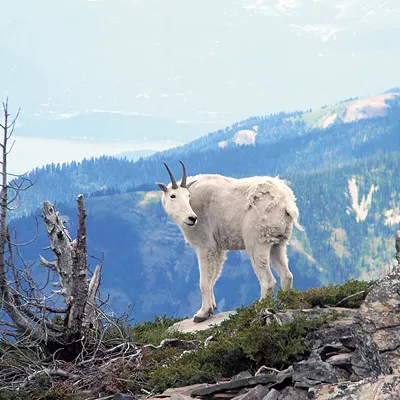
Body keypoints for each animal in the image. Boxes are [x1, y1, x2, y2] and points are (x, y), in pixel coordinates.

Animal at [156, 161, 300, 324]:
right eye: (173, 196)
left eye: (188, 196)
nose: (192, 218)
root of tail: (286, 203)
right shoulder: (218, 249)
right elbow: (212, 278)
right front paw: (212, 308)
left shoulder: (205, 246)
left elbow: (204, 282)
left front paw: (202, 313)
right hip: (278, 242)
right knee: (286, 275)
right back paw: (283, 304)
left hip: (257, 241)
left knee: (268, 281)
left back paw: (257, 308)